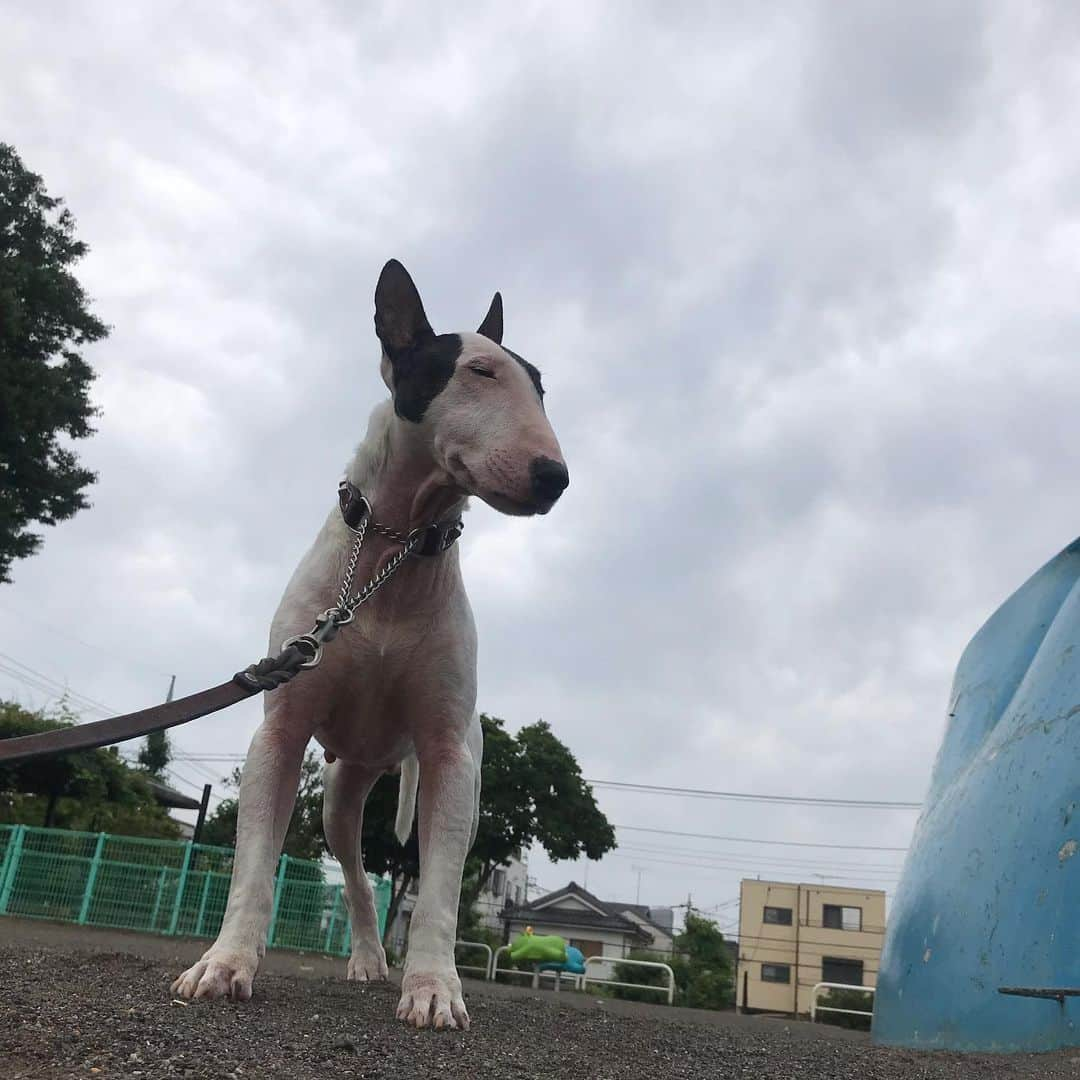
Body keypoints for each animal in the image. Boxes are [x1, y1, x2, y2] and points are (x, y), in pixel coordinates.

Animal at [170, 259, 565, 1028]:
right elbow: (254, 865)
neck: (396, 552)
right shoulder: (281, 731)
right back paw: (365, 957)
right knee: (355, 875)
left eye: (540, 385)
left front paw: (435, 987)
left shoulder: (447, 754)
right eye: (478, 371)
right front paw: (225, 964)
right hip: (339, 793)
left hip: (450, 777)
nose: (555, 478)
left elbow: (437, 891)